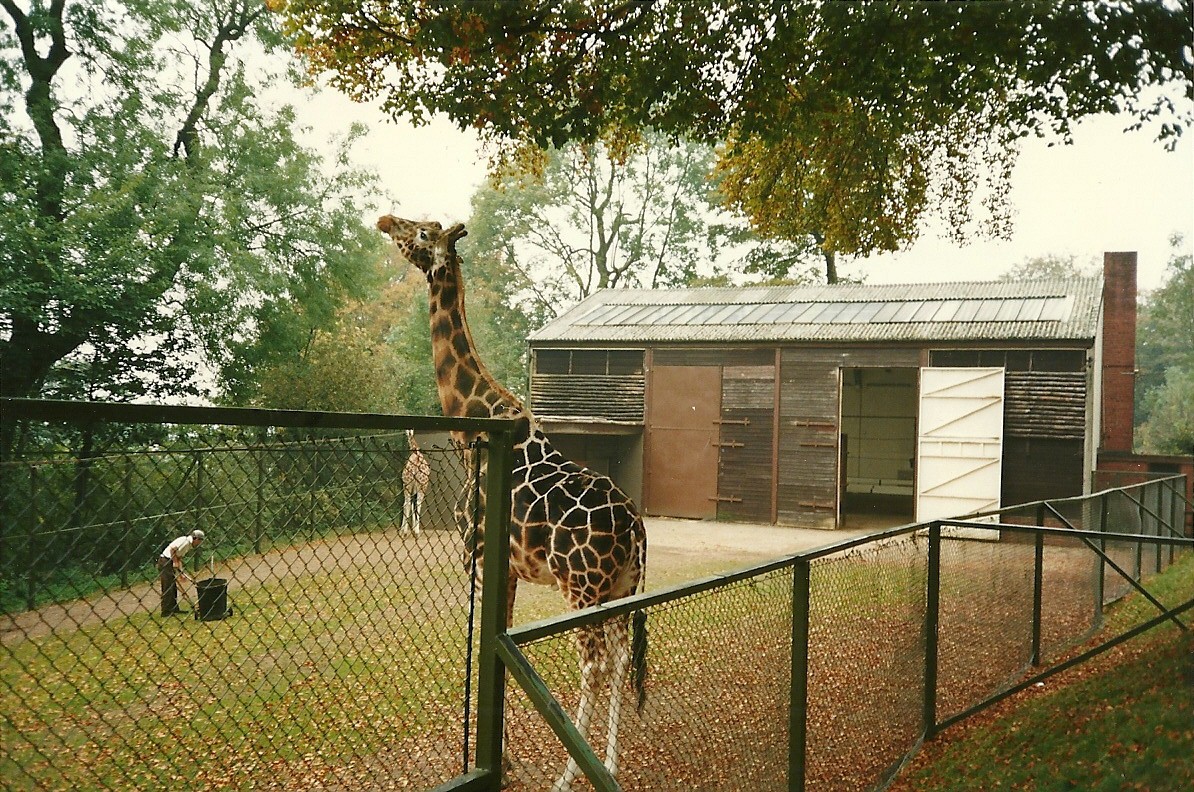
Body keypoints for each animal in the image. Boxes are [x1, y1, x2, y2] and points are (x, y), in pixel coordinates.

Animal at [377, 214, 648, 791]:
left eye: (423, 233)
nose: (386, 220)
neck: (474, 427)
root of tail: (637, 528)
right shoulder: (511, 571)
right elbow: (500, 649)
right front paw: (502, 755)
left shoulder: (478, 557)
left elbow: (485, 651)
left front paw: (488, 760)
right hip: (620, 588)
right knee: (617, 660)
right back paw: (610, 765)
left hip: (582, 587)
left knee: (594, 665)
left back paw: (569, 776)